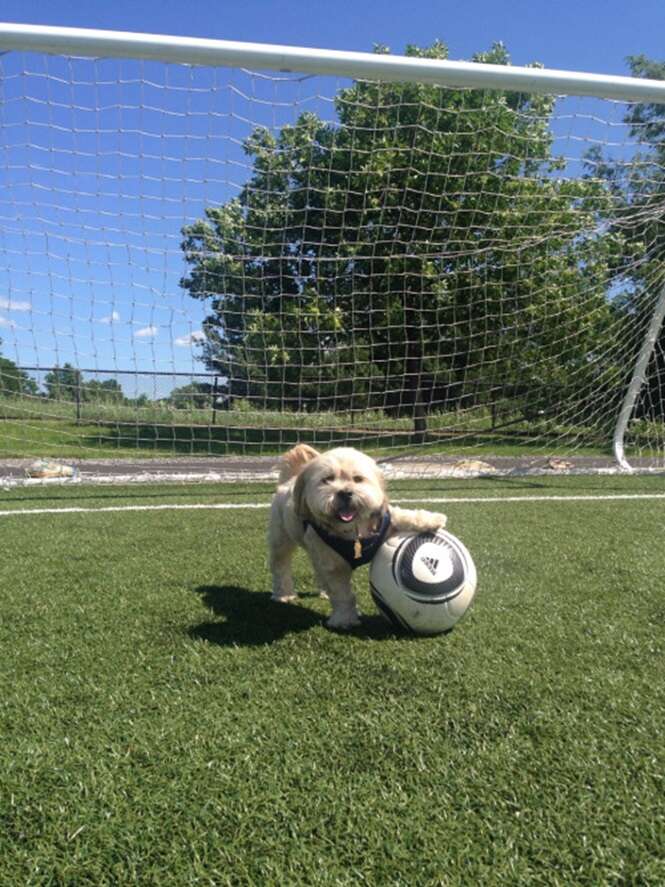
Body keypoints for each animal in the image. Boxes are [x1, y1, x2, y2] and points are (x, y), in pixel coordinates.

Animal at [266, 444, 446, 632]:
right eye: (327, 479)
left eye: (358, 479)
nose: (345, 492)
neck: (354, 531)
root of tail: (289, 481)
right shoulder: (334, 565)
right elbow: (342, 595)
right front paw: (344, 619)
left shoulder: (383, 523)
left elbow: (403, 516)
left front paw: (431, 520)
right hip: (281, 540)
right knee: (280, 566)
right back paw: (284, 594)